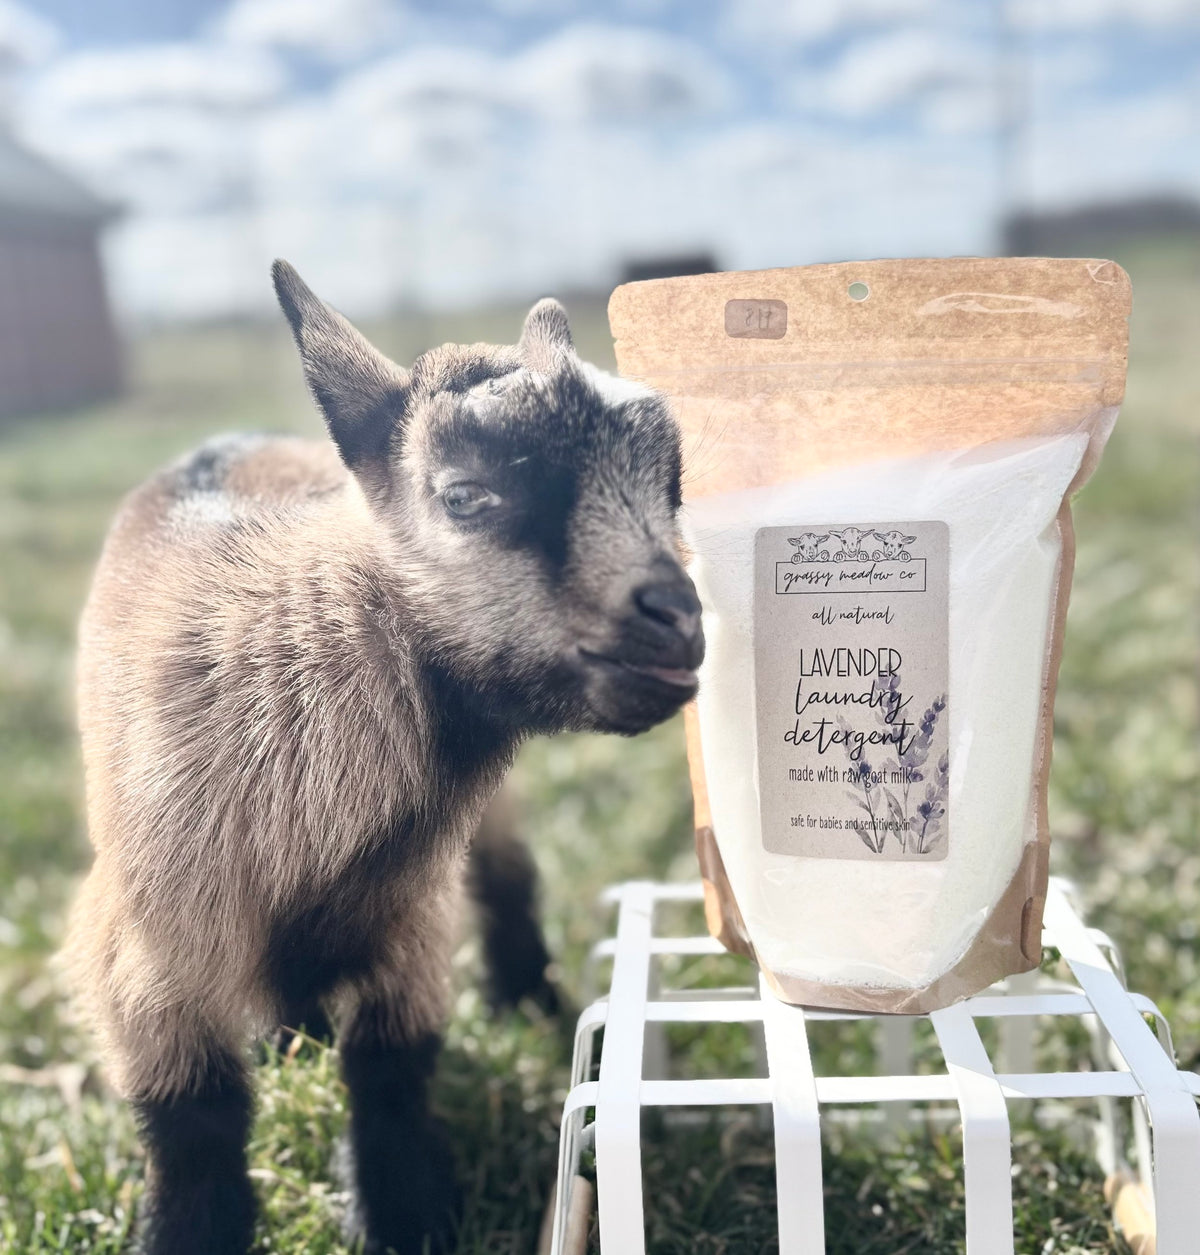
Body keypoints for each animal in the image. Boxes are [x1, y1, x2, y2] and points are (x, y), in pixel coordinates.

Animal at [65, 261, 704, 1255]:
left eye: (671, 483)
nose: (679, 621)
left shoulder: (408, 909)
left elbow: (391, 1067)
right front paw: (189, 1233)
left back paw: (528, 999)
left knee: (508, 878)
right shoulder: (151, 939)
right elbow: (193, 1117)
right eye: (466, 493)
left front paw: (405, 1215)